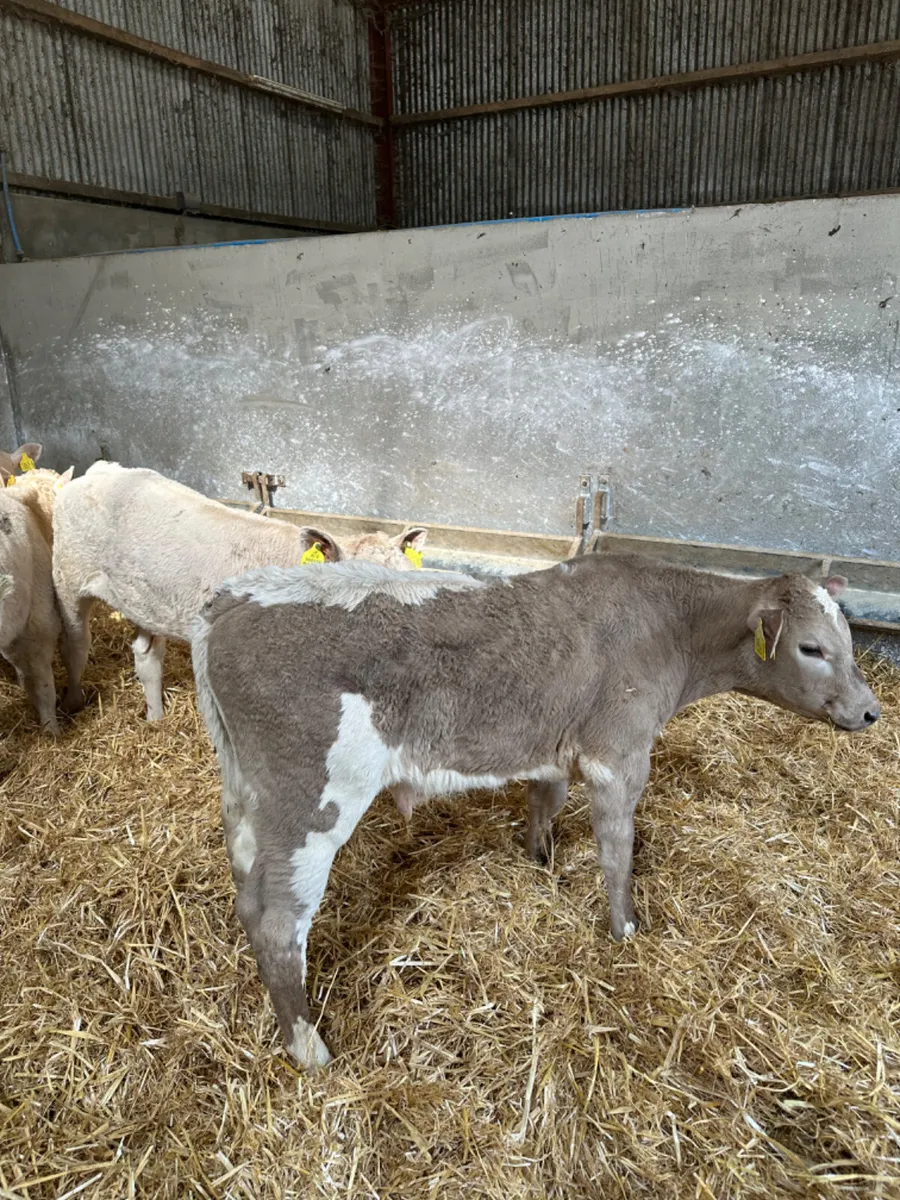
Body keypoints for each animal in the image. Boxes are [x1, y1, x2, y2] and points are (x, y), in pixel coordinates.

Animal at [52, 461, 428, 721]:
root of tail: (102, 470)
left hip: (145, 599)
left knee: (146, 655)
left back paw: (155, 717)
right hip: (67, 577)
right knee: (75, 644)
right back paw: (70, 704)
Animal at [191, 553, 880, 1067]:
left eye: (847, 642)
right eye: (812, 648)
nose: (871, 710)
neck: (671, 626)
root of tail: (233, 598)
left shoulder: (555, 750)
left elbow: (545, 803)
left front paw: (539, 863)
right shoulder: (618, 756)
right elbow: (616, 850)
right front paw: (626, 929)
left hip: (246, 795)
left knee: (246, 891)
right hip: (312, 800)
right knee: (279, 922)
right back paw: (309, 1048)